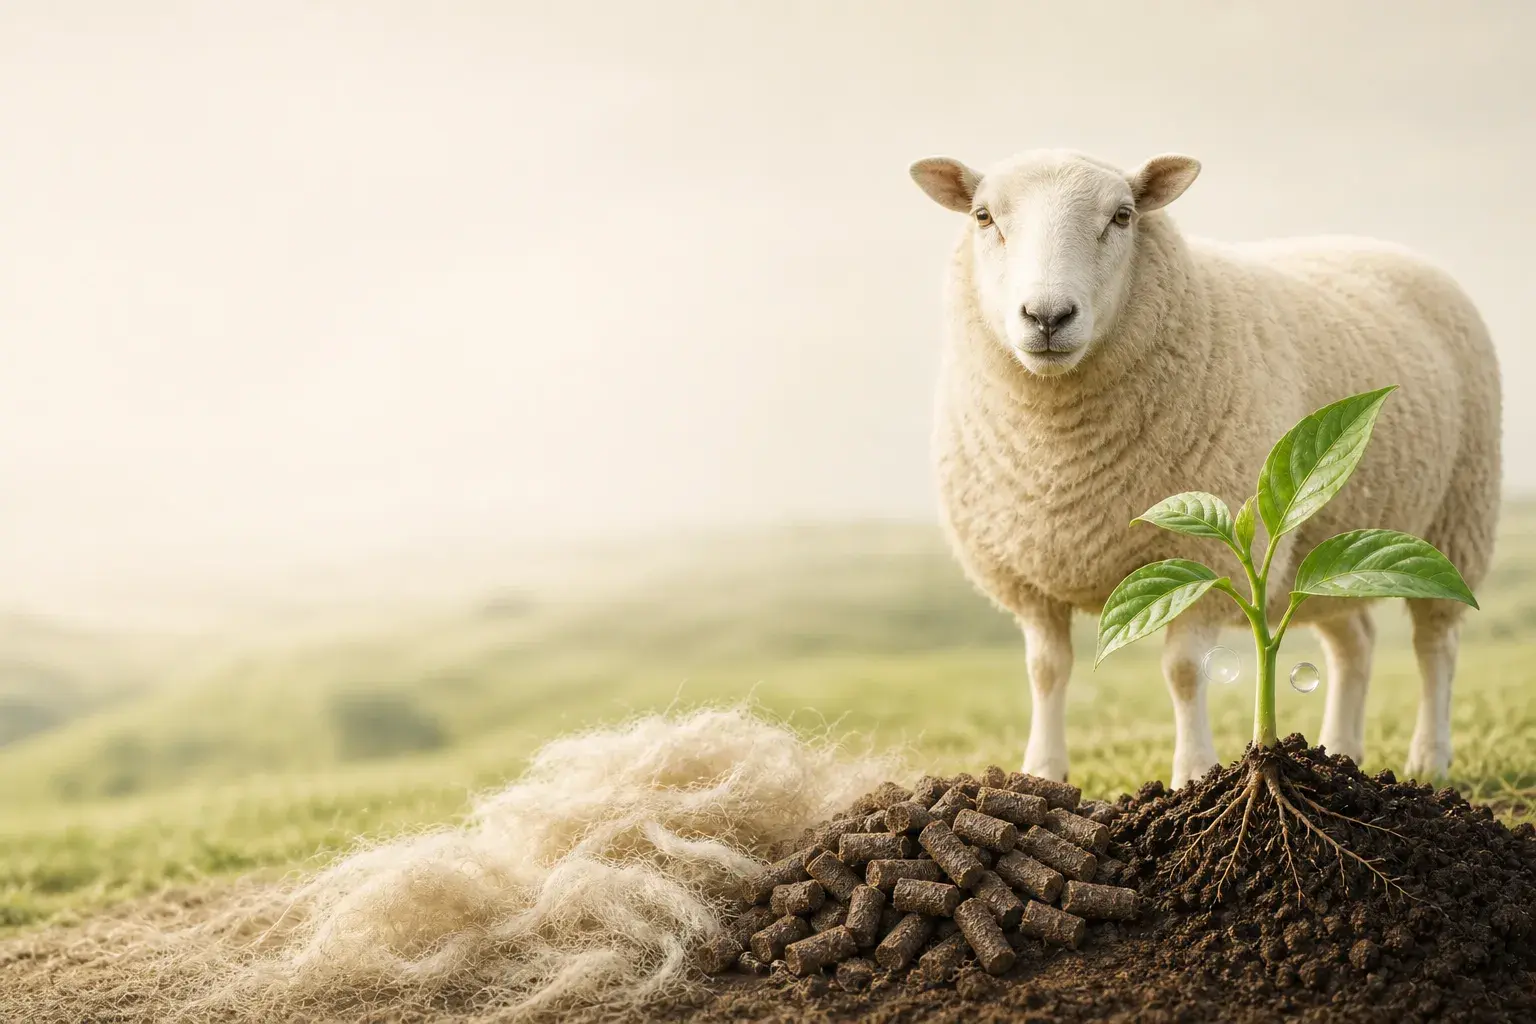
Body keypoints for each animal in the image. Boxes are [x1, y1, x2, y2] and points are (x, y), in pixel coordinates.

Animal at [909, 148, 1501, 788]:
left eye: (1122, 216)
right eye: (983, 216)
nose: (1047, 316)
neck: (1061, 450)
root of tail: (1387, 247)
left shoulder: (1207, 558)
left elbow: (1185, 671)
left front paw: (1193, 773)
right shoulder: (1028, 577)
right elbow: (1045, 670)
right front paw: (1042, 774)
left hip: (1458, 515)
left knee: (1436, 643)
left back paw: (1429, 759)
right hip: (1326, 548)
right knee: (1354, 642)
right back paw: (1341, 751)